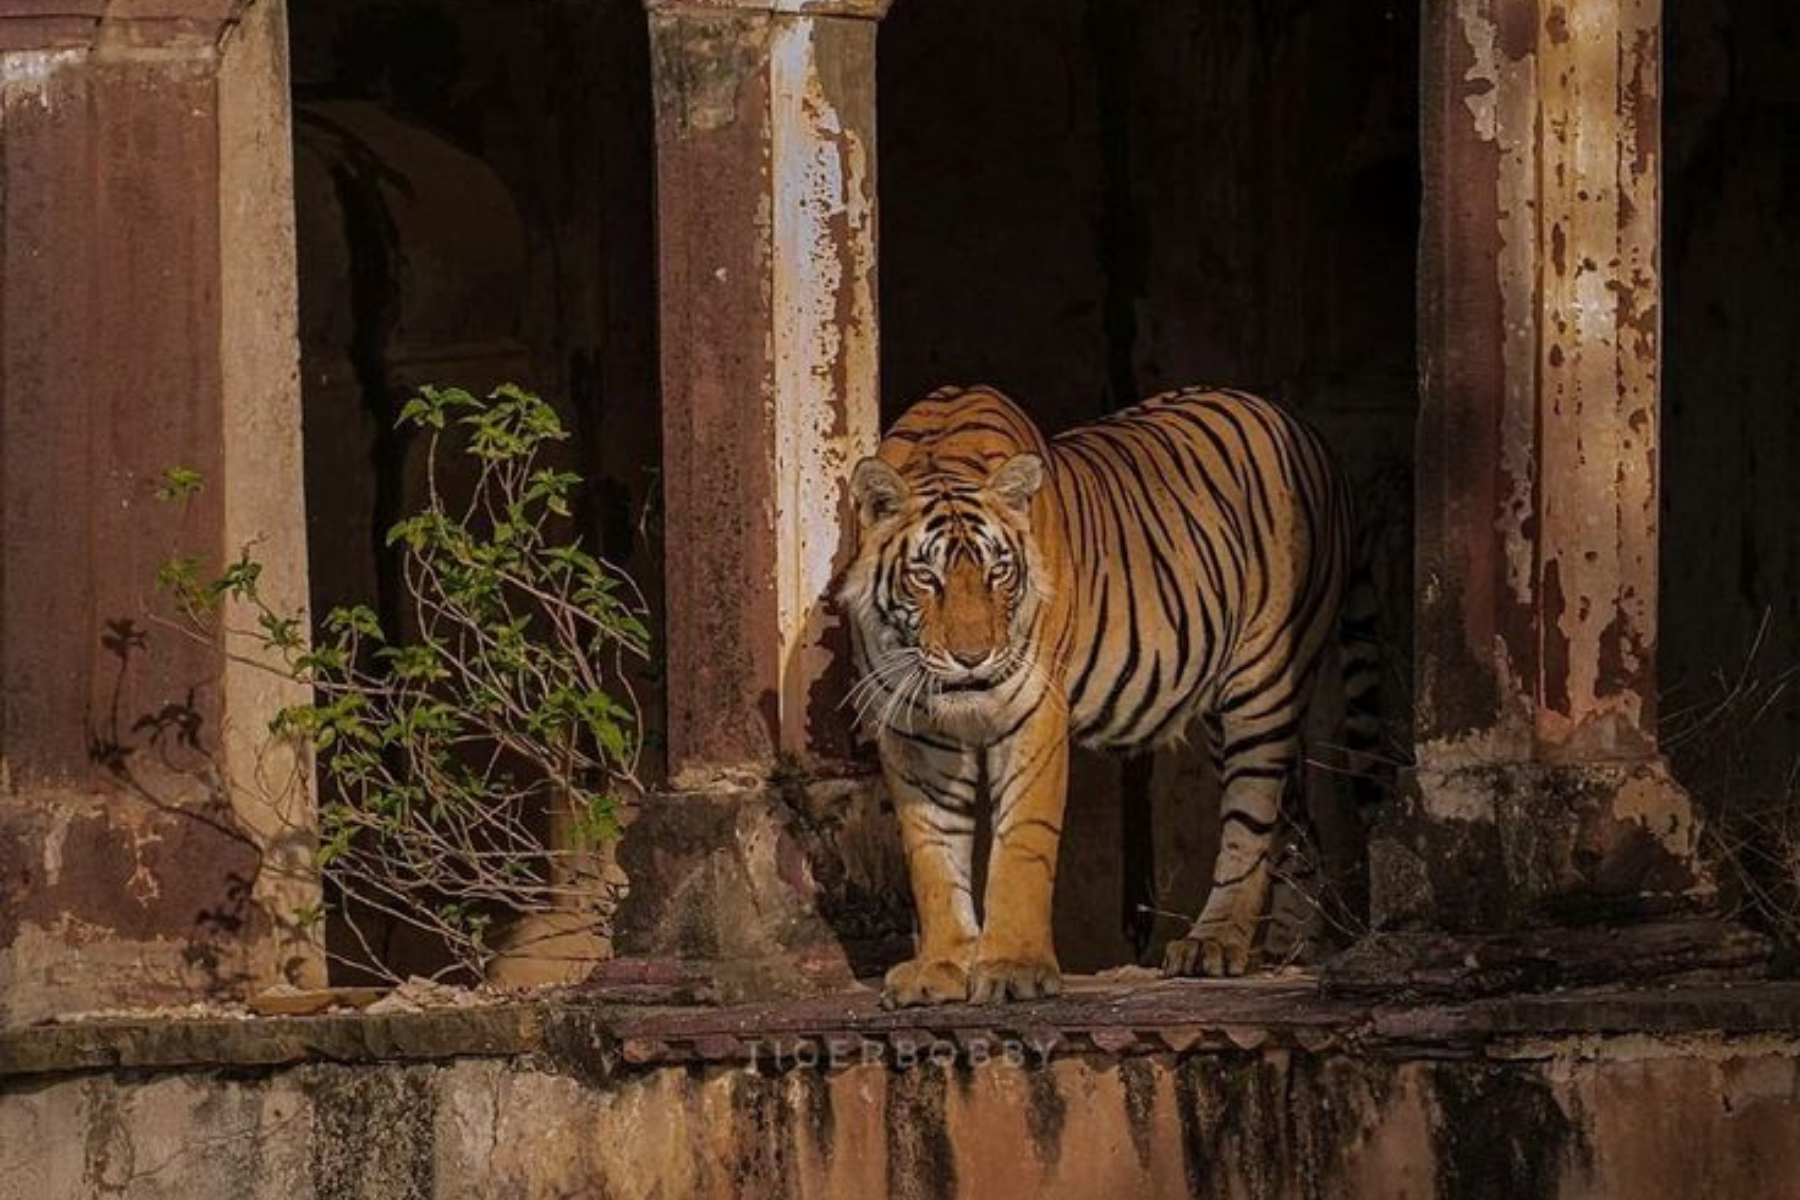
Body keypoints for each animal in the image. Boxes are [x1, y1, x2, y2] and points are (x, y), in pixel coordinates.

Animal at [838, 383, 1375, 1007]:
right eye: (926, 578)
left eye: (999, 573)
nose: (973, 659)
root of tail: (1310, 433)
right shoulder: (909, 729)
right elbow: (932, 851)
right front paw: (942, 967)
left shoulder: (1033, 713)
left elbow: (1022, 847)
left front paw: (1014, 969)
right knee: (1293, 822)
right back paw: (1289, 949)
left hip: (1261, 686)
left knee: (1252, 818)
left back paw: (1215, 943)